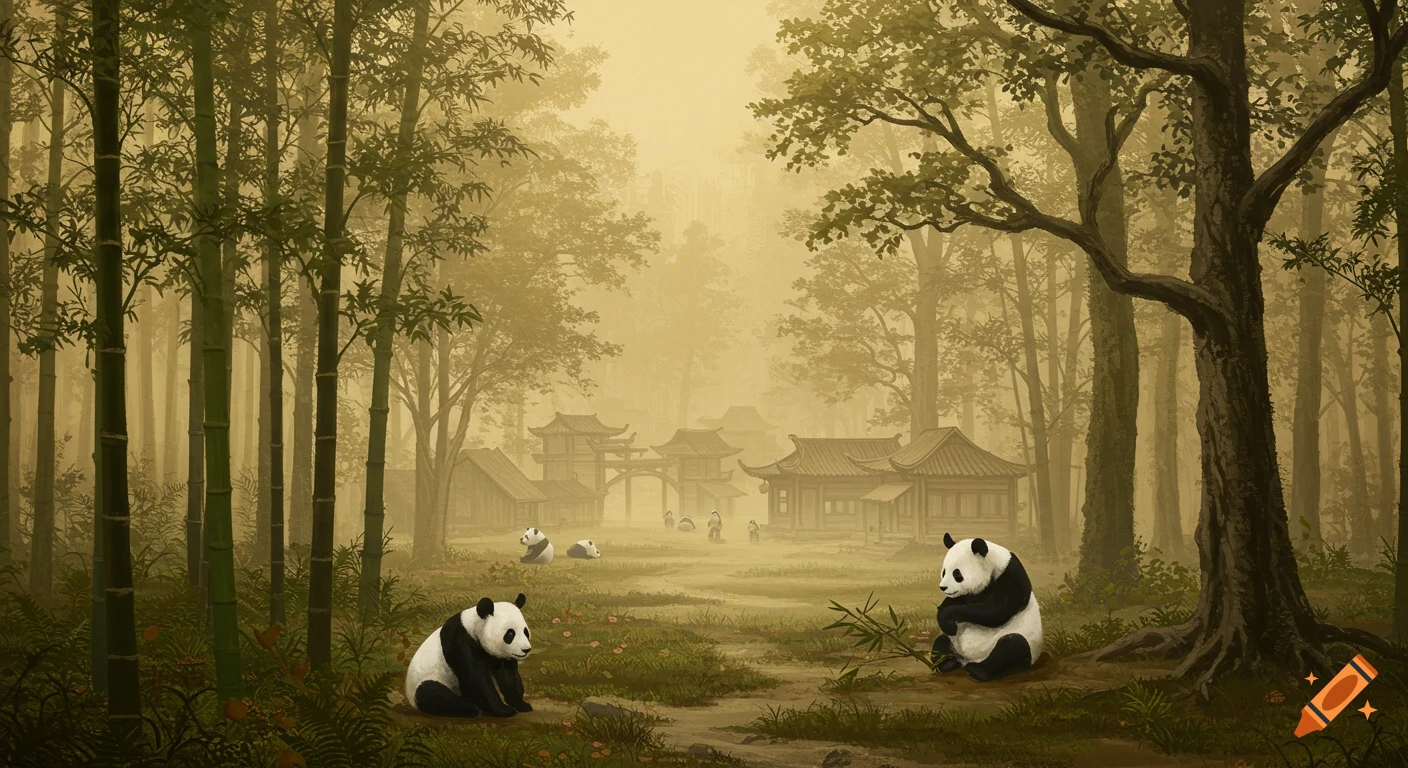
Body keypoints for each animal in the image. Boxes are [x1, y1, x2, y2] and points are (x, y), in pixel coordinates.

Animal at [404, 593, 534, 718]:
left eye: (526, 632)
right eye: (510, 634)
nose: (526, 649)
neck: (474, 626)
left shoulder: (498, 655)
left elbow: (507, 676)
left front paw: (521, 705)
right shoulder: (459, 642)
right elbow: (475, 680)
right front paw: (504, 710)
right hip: (428, 682)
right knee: (431, 693)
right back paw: (470, 709)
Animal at [930, 532, 1042, 682]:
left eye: (957, 574)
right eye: (944, 572)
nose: (943, 587)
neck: (995, 562)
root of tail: (967, 660)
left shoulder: (1010, 578)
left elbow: (996, 612)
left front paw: (949, 619)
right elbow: (952, 602)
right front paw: (946, 622)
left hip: (1026, 643)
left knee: (1011, 647)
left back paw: (977, 671)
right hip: (954, 644)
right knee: (941, 641)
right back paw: (947, 663)